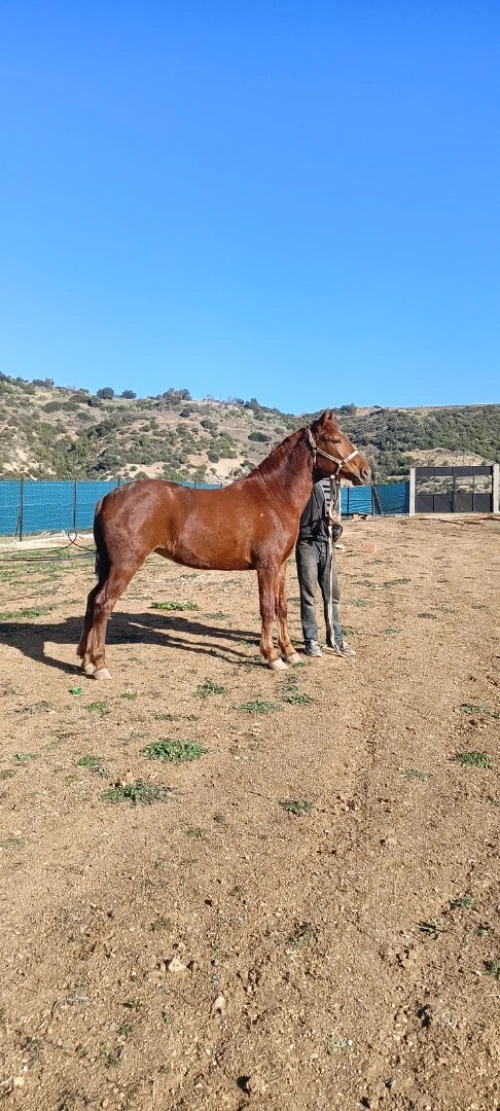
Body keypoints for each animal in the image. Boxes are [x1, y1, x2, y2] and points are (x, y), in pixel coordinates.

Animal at [77, 410, 370, 678]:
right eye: (335, 439)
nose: (365, 472)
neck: (273, 497)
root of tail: (107, 498)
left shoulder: (281, 567)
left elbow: (282, 608)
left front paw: (290, 653)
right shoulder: (266, 567)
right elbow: (267, 609)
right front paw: (272, 657)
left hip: (110, 566)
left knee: (92, 599)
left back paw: (85, 659)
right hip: (125, 564)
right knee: (103, 603)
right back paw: (99, 665)